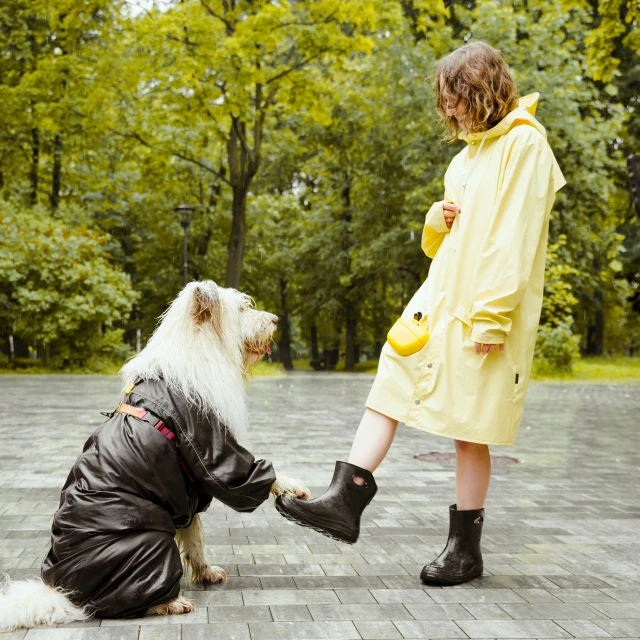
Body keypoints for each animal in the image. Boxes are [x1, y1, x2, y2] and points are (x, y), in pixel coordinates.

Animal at [0, 282, 310, 632]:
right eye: (242, 309)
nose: (275, 320)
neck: (201, 349)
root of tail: (63, 594)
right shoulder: (214, 450)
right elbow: (245, 475)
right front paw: (295, 486)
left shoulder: (186, 493)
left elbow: (195, 538)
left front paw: (205, 573)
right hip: (149, 542)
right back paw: (170, 602)